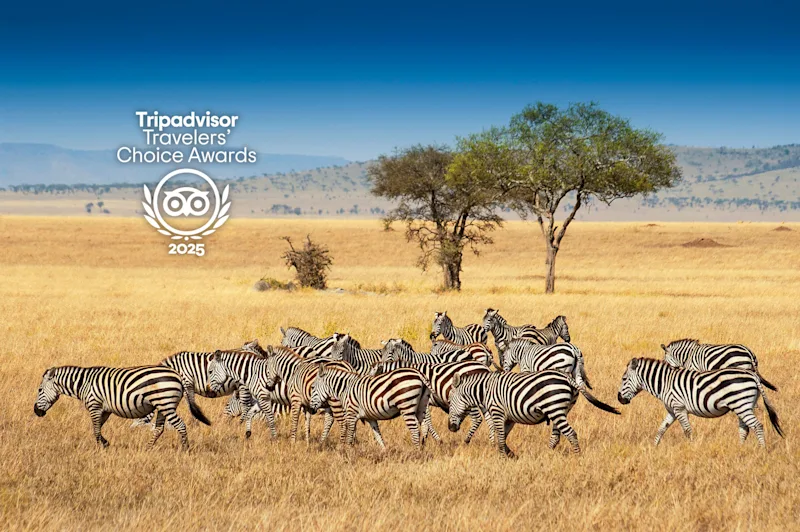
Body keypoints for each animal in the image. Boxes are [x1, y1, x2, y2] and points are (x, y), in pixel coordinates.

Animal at [34, 365, 211, 450]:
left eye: (40, 390)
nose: (36, 412)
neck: (83, 383)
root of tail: (178, 376)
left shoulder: (94, 405)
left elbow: (96, 429)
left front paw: (102, 446)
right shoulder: (104, 409)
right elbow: (98, 428)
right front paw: (104, 443)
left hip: (165, 403)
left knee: (180, 425)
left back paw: (185, 449)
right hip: (162, 405)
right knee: (159, 428)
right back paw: (147, 448)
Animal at [448, 370, 619, 457]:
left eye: (449, 402)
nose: (450, 428)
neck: (484, 390)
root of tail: (567, 377)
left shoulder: (497, 412)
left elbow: (501, 438)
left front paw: (502, 458)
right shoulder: (509, 418)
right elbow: (502, 437)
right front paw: (511, 455)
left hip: (555, 408)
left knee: (571, 433)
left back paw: (578, 457)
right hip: (560, 410)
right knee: (556, 436)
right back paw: (547, 455)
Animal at [617, 358, 784, 447]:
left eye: (624, 379)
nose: (619, 398)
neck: (665, 382)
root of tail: (753, 375)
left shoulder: (679, 407)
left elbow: (687, 430)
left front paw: (691, 447)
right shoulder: (672, 410)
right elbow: (661, 429)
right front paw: (654, 447)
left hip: (741, 405)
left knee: (757, 425)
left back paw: (762, 449)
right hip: (743, 406)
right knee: (745, 428)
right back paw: (740, 448)